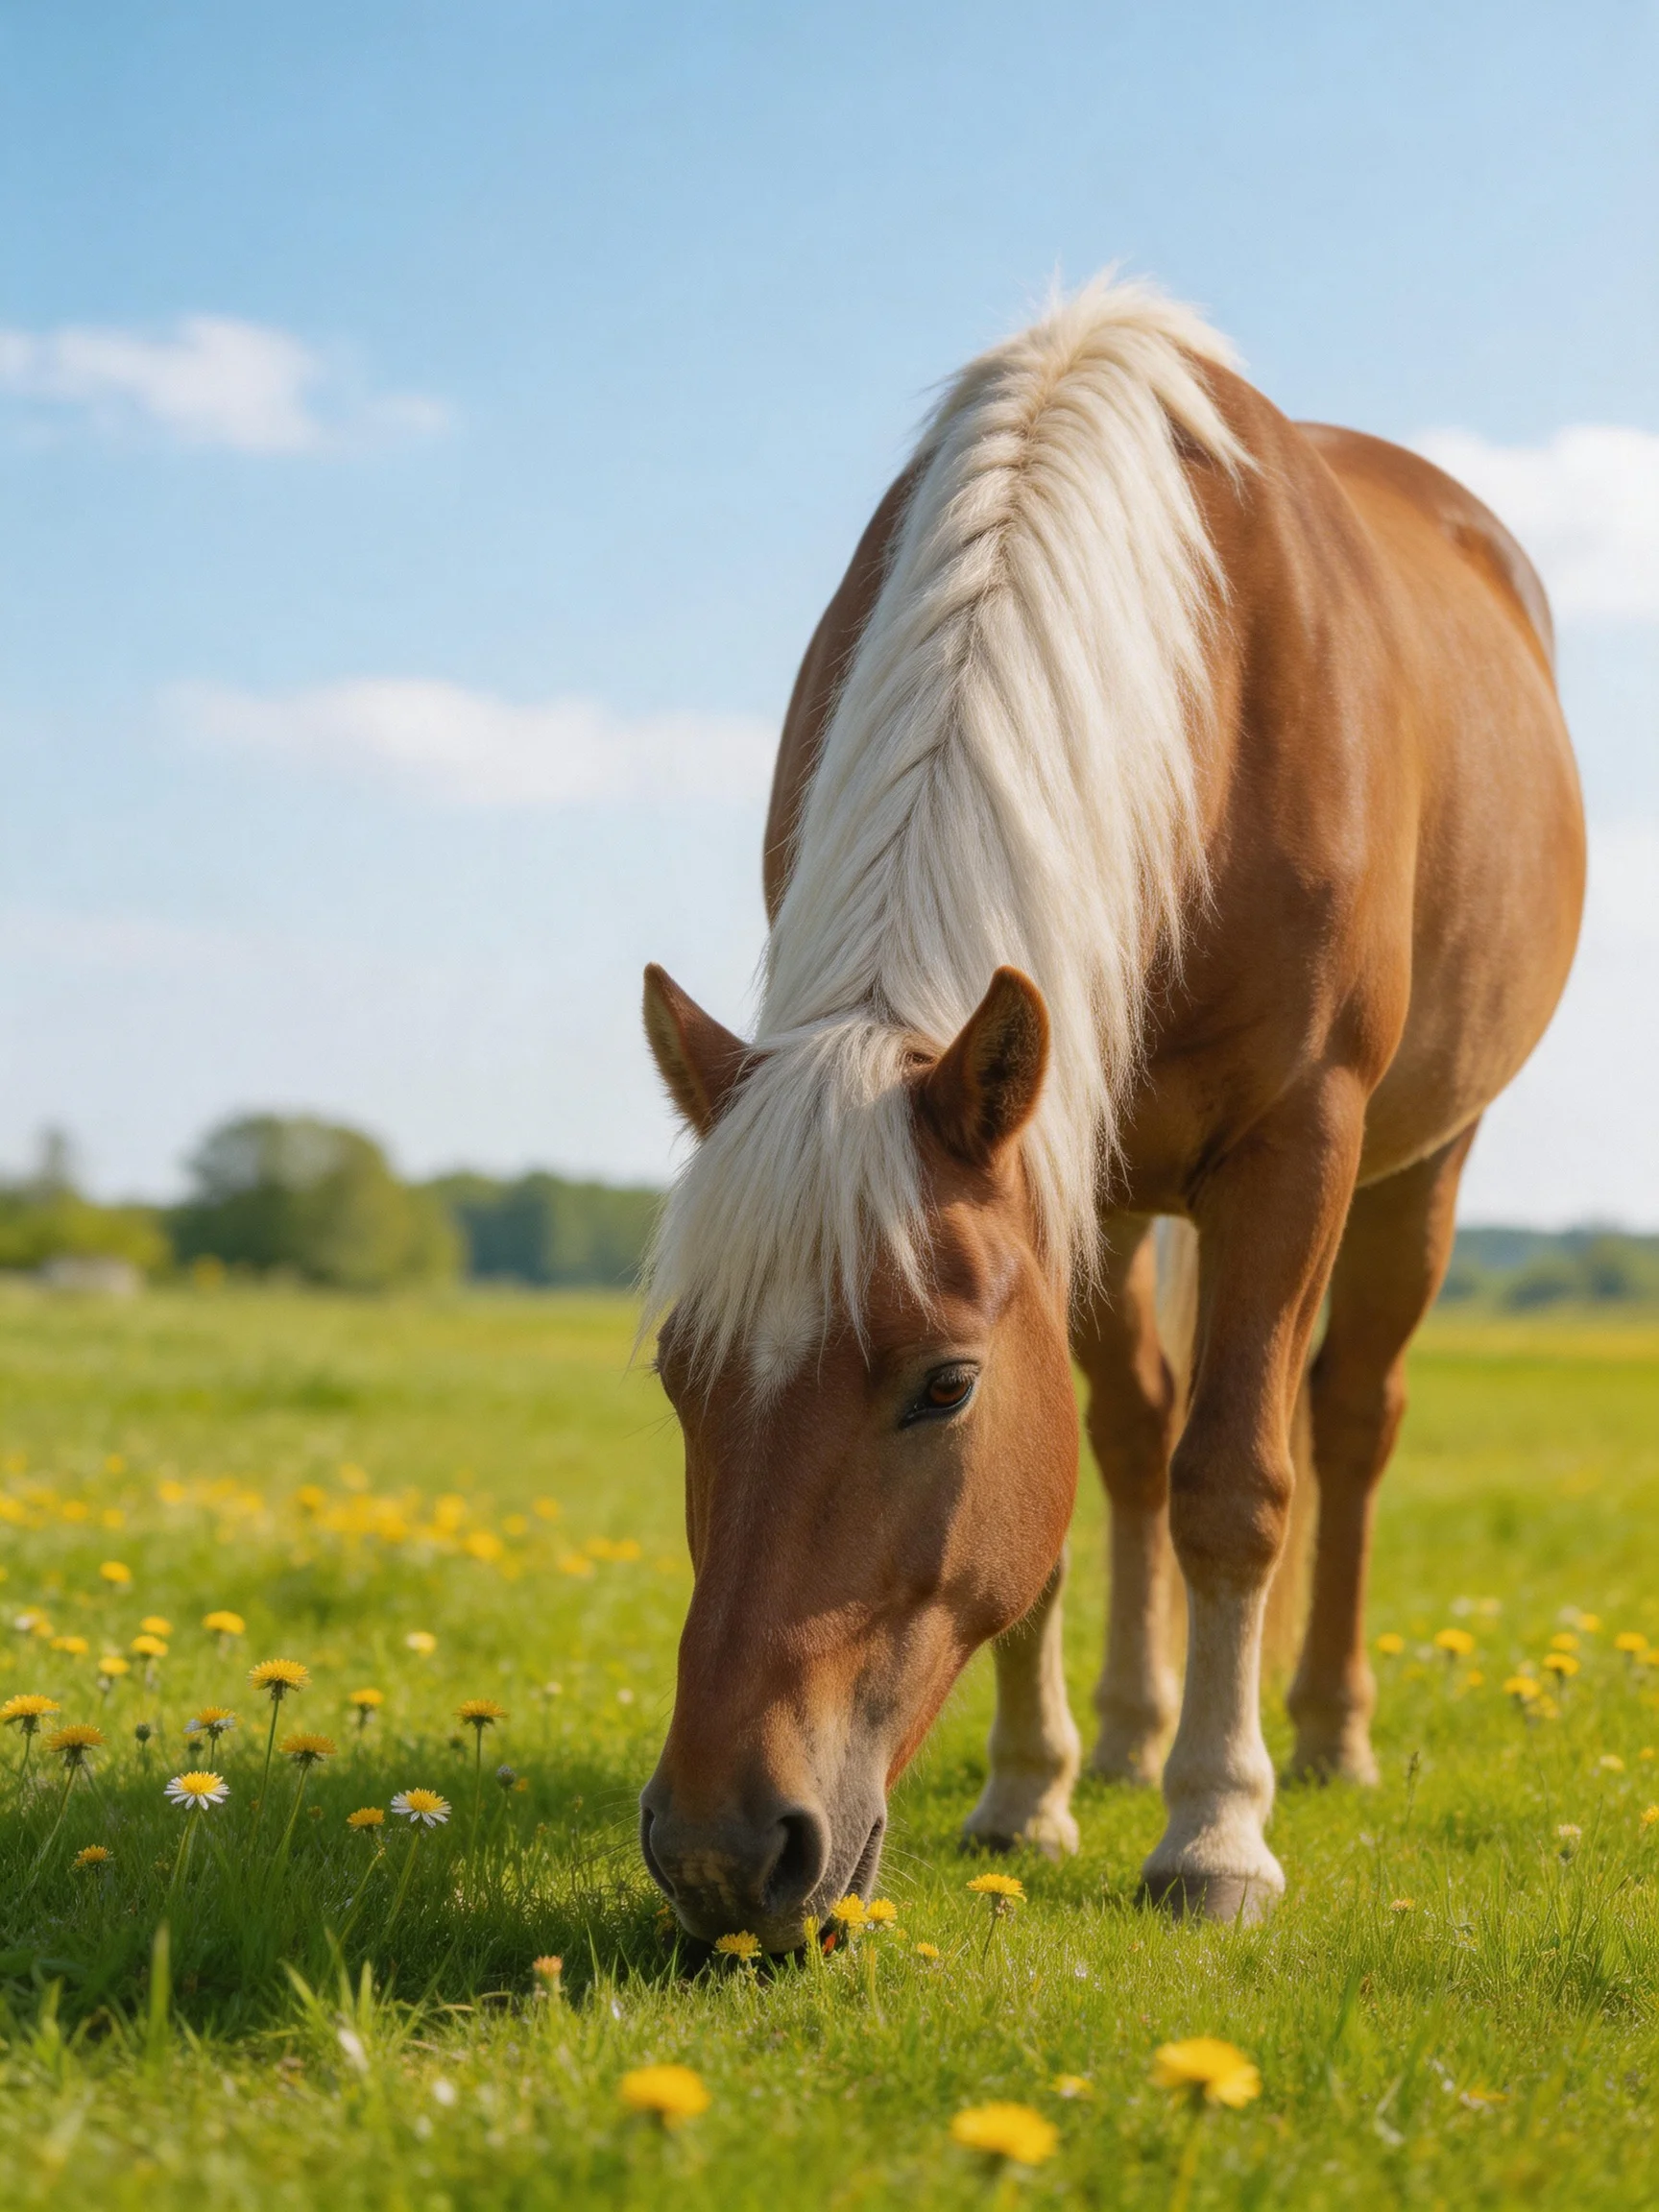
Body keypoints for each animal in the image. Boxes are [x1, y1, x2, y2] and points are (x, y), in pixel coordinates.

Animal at [636, 276, 1583, 1944]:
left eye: (944, 1388)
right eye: (680, 1379)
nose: (719, 1854)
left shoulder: (1295, 1145)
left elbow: (1239, 1485)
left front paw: (1217, 1836)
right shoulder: (1055, 1172)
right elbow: (1092, 1483)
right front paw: (1033, 1792)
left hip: (1418, 1168)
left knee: (1348, 1419)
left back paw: (1322, 1736)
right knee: (1136, 1433)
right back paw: (1134, 1737)